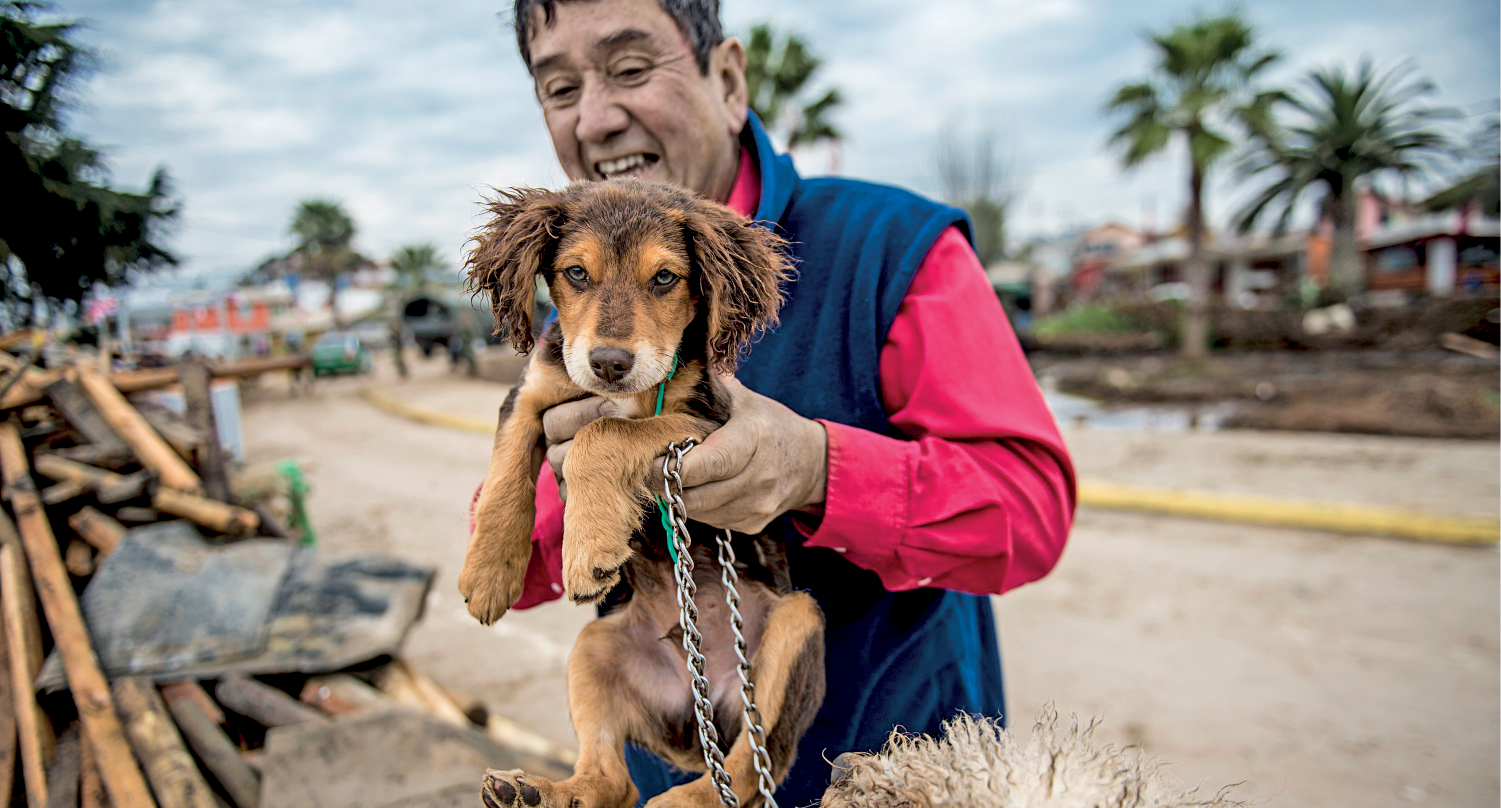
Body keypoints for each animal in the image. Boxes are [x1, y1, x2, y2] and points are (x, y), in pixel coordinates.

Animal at [462, 177, 828, 804]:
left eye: (664, 278)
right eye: (576, 273)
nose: (609, 363)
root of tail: (696, 717)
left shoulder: (705, 422)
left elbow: (603, 433)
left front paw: (588, 548)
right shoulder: (531, 393)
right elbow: (506, 475)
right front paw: (489, 574)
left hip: (795, 626)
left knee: (754, 768)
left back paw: (685, 799)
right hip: (594, 648)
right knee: (613, 782)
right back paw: (542, 792)